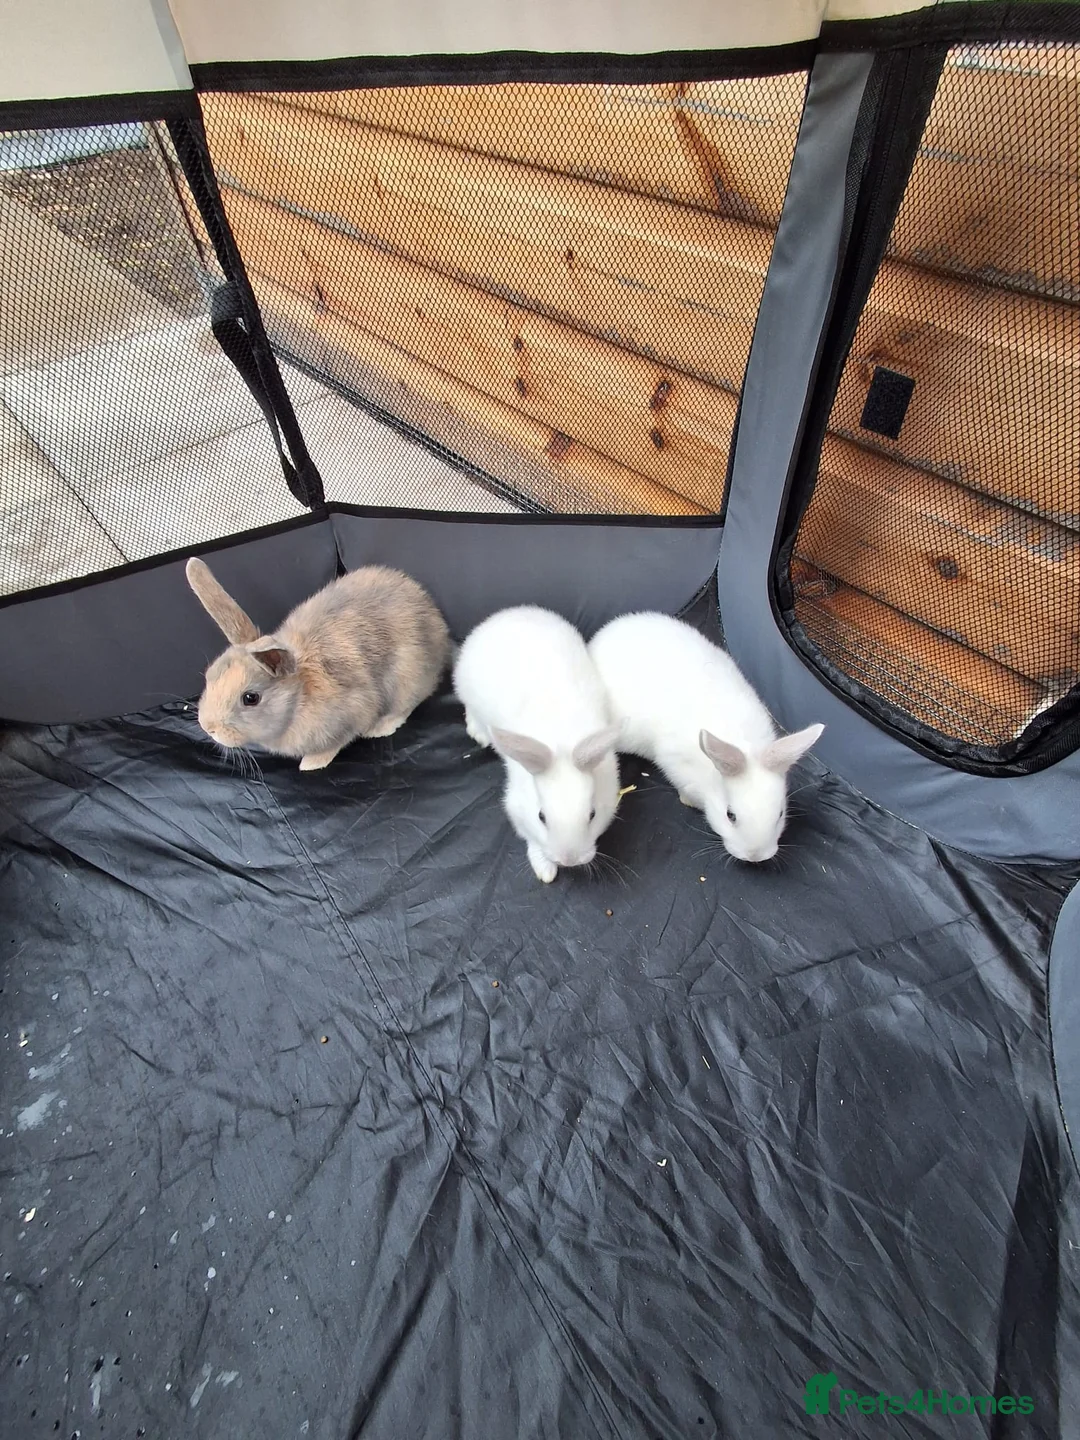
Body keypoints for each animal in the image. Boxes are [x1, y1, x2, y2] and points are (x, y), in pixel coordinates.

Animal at [186, 556, 452, 770]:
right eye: (209, 675)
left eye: (250, 698)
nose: (208, 727)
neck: (299, 697)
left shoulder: (355, 710)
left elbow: (337, 741)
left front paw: (312, 764)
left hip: (407, 675)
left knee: (408, 703)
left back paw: (381, 727)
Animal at [453, 605, 621, 883]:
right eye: (541, 816)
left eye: (592, 814)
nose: (568, 860)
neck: (562, 742)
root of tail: (505, 614)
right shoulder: (517, 809)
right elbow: (531, 840)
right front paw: (545, 869)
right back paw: (480, 733)